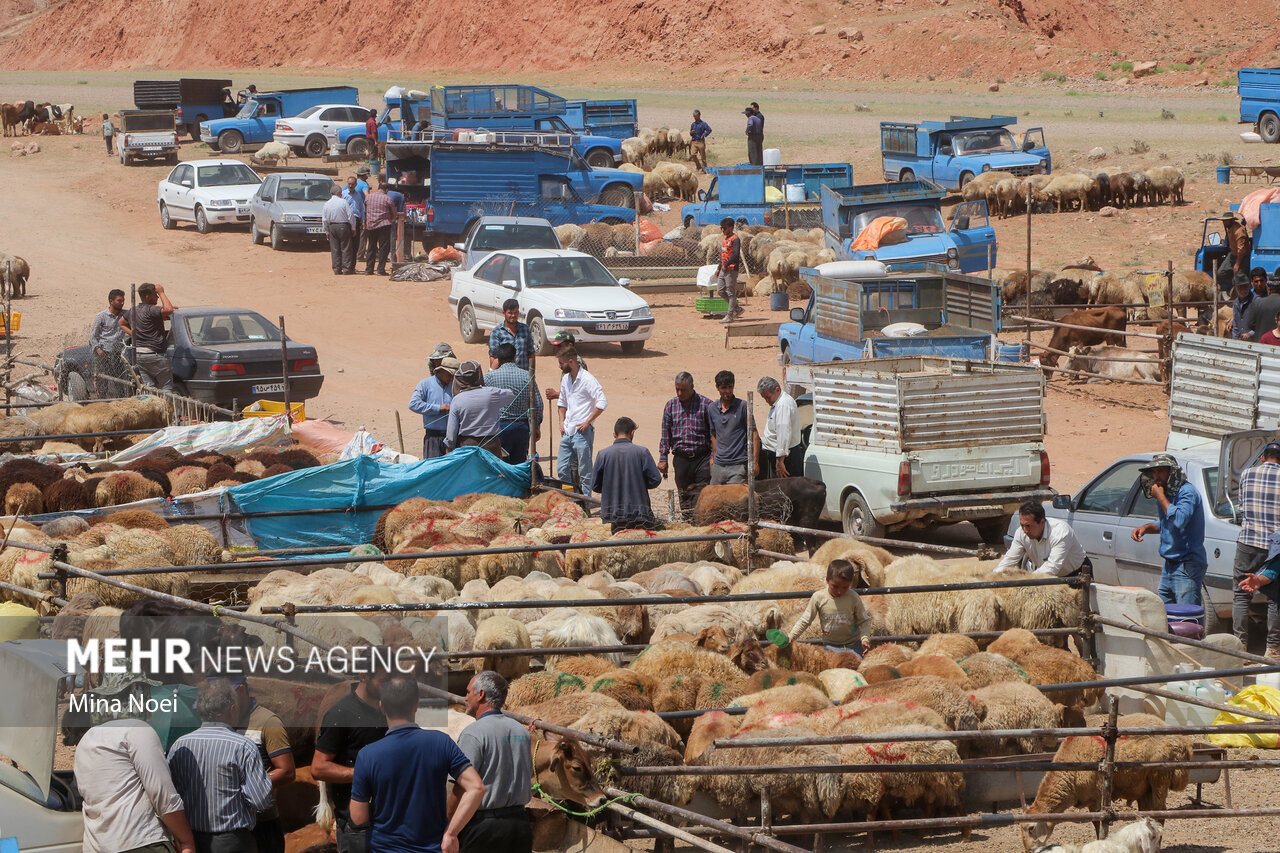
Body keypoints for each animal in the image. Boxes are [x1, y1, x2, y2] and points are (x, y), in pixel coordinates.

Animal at [1018, 712, 1187, 845]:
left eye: (1031, 828)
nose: (1028, 850)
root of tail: (1182, 742)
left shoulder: (1099, 795)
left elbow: (1099, 822)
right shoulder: (1090, 799)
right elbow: (1095, 821)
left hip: (1159, 777)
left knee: (1160, 813)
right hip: (1145, 788)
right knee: (1148, 814)